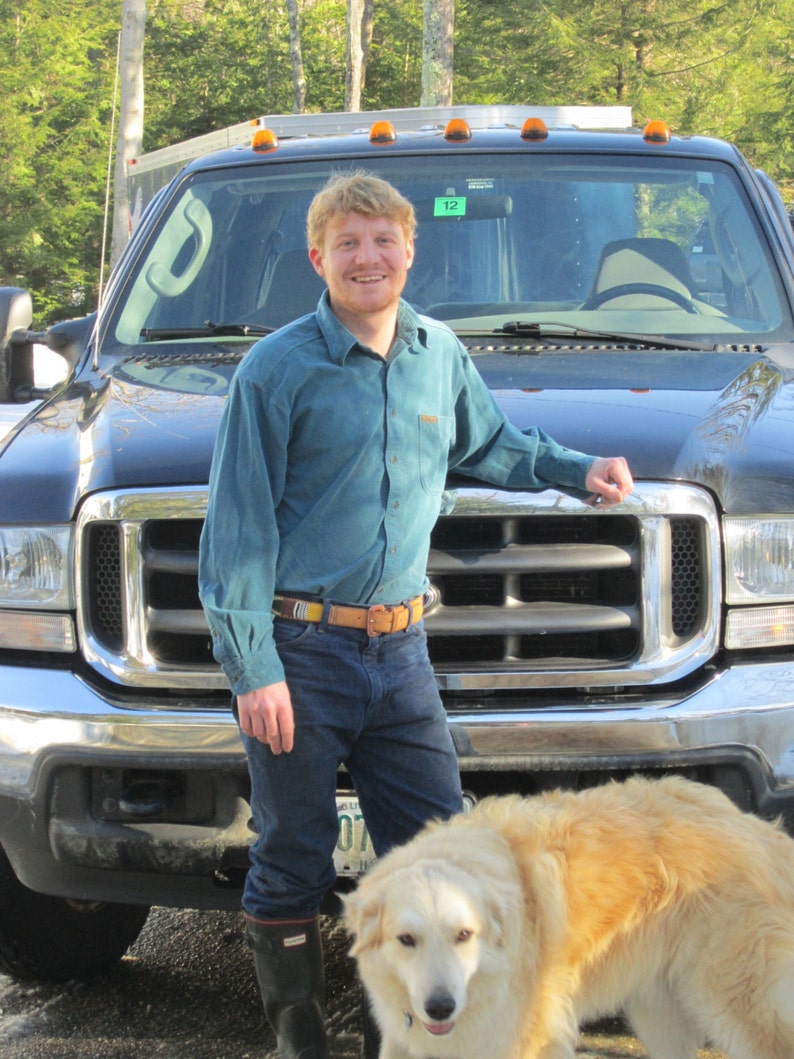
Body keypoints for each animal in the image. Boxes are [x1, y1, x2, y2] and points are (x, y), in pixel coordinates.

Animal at [343, 775, 794, 1054]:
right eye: (406, 940)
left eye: (464, 935)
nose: (440, 1007)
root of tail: (758, 829)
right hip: (660, 1012)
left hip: (735, 1002)